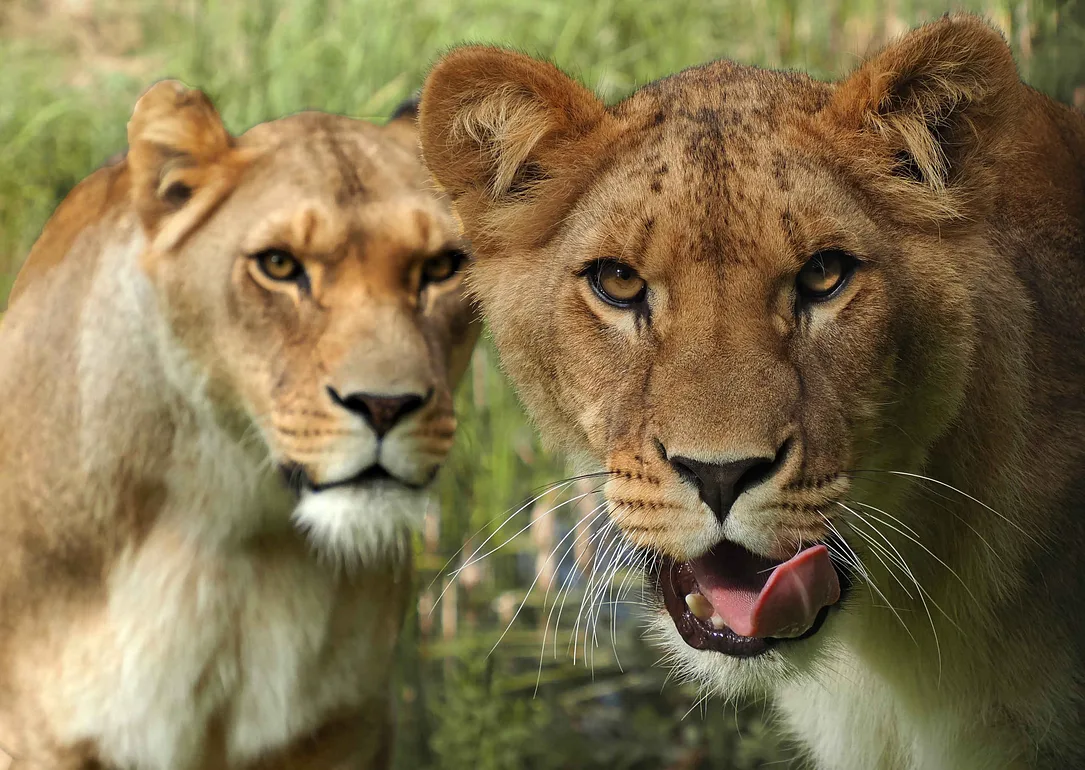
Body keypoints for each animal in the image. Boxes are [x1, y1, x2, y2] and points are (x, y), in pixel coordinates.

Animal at [0, 82, 479, 769]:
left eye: (440, 266)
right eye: (278, 265)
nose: (385, 405)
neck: (228, 526)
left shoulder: (347, 726)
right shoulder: (38, 736)